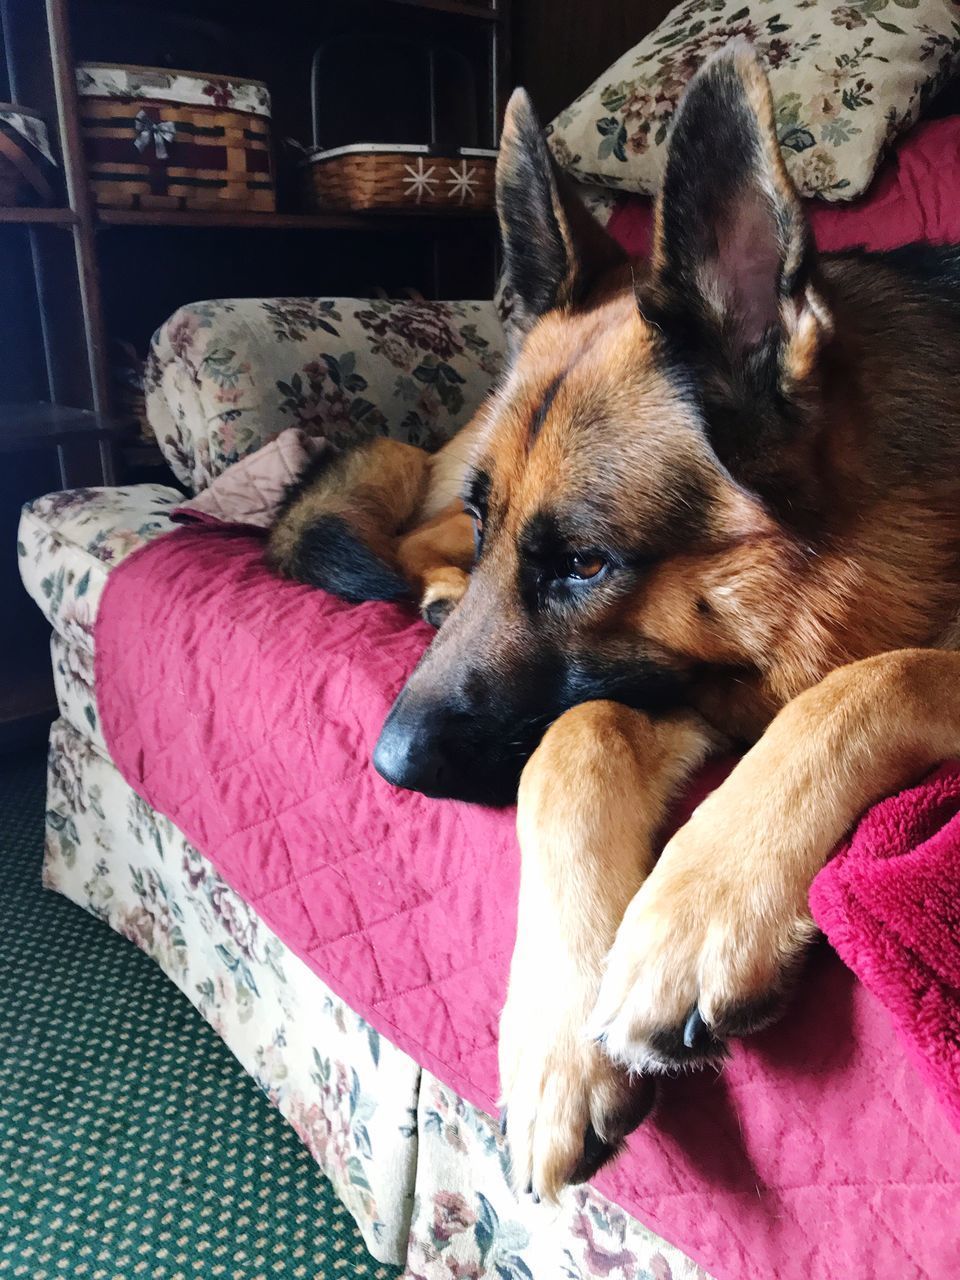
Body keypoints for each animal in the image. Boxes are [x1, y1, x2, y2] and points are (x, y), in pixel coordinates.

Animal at [267, 49, 960, 1203]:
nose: (389, 766)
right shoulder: (657, 678)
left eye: (586, 565)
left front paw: (699, 910)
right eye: (500, 529)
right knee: (404, 532)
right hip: (445, 485)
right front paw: (556, 1039)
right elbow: (570, 737)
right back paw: (435, 587)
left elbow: (874, 678)